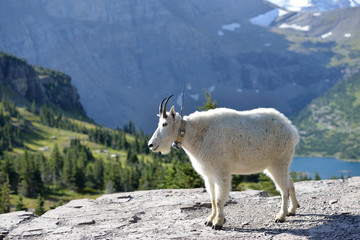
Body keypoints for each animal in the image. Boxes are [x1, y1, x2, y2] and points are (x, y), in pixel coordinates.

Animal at [148, 95, 300, 231]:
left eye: (165, 124)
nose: (151, 145)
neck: (197, 134)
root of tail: (292, 130)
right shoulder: (209, 174)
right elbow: (213, 198)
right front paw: (209, 220)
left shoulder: (221, 171)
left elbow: (220, 199)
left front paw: (218, 223)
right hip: (272, 165)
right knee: (290, 182)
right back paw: (292, 209)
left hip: (279, 162)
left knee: (284, 189)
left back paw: (281, 216)